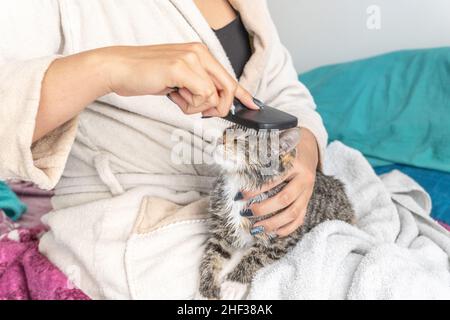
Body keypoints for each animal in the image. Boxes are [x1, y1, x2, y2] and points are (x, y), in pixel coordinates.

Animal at [198, 126, 356, 298]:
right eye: (225, 132)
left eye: (245, 139)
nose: (220, 139)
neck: (239, 182)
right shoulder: (221, 226)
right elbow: (214, 252)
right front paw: (206, 288)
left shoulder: (282, 237)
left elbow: (255, 257)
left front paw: (233, 284)